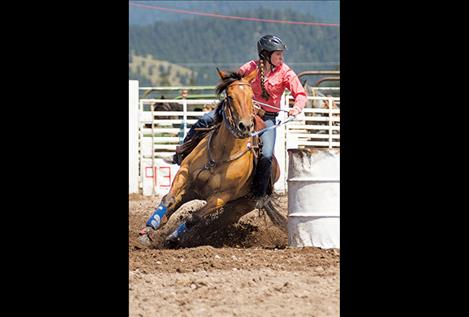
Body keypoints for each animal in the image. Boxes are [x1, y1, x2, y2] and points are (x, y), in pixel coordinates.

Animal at [137, 68, 288, 248]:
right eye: (230, 96)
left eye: (251, 96)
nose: (245, 126)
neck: (221, 154)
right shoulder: (185, 175)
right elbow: (168, 199)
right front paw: (148, 230)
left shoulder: (221, 197)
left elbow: (194, 218)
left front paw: (173, 236)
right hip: (191, 192)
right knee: (173, 205)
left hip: (239, 207)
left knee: (211, 223)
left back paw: (179, 238)